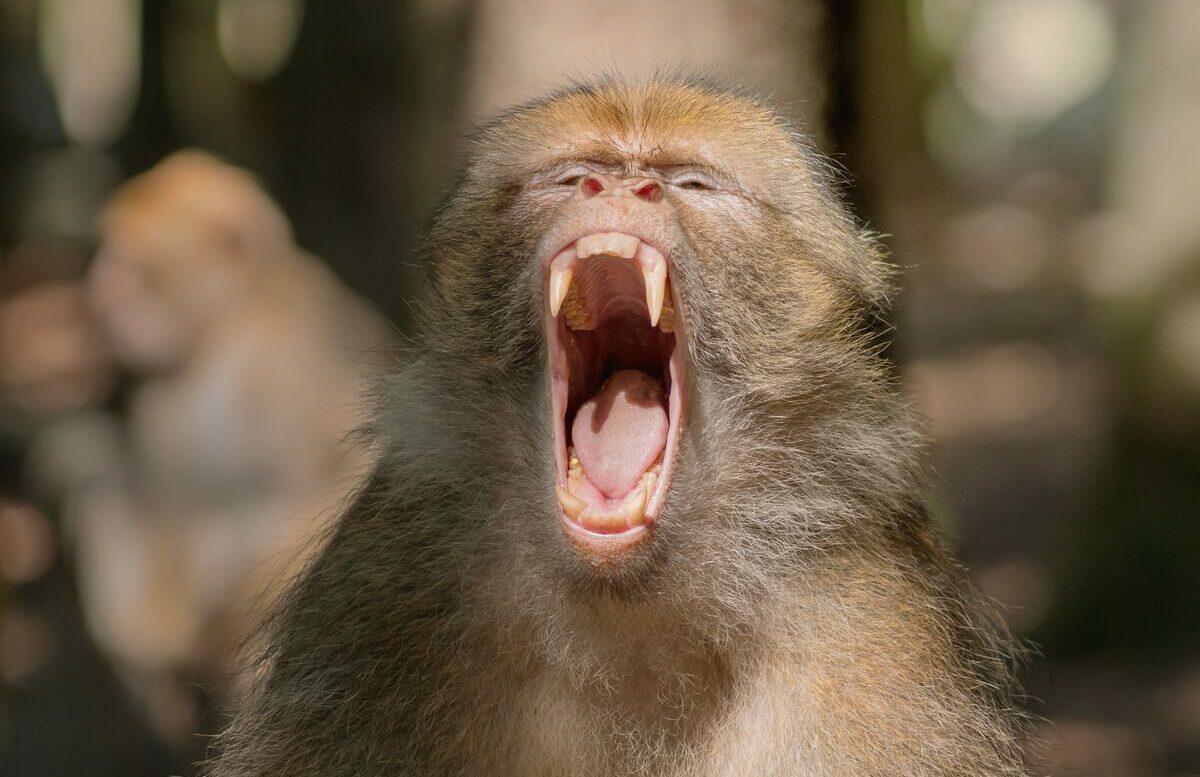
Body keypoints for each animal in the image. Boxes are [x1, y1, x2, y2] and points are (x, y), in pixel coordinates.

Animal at [67, 151, 392, 741]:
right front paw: (148, 642)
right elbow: (159, 490)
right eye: (108, 252)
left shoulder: (294, 348)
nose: (99, 287)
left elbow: (343, 472)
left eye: (131, 265)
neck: (232, 318)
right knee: (103, 487)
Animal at [207, 81, 1029, 776]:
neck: (626, 609)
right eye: (573, 177)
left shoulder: (876, 615)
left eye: (692, 184)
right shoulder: (383, 590)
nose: (624, 187)